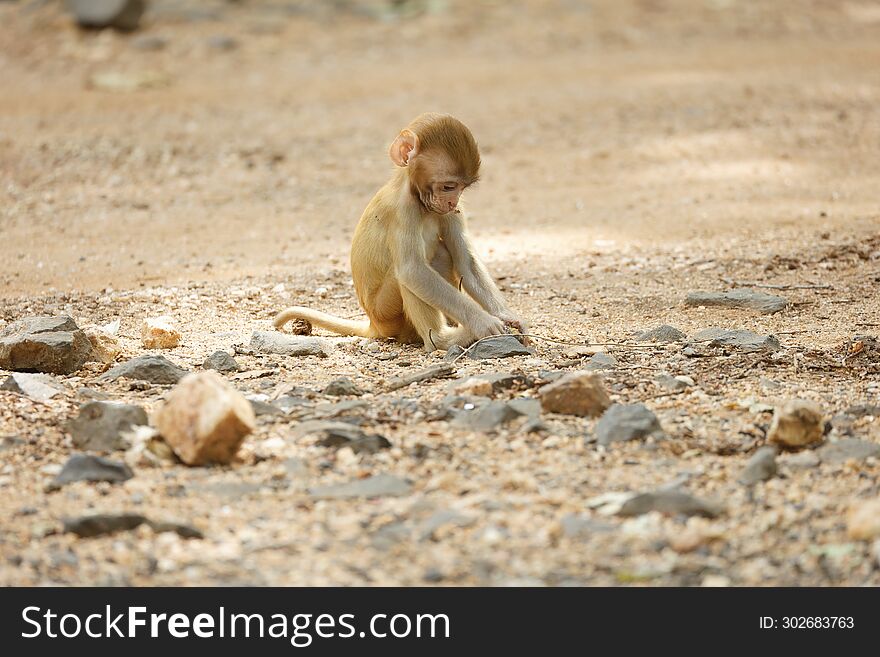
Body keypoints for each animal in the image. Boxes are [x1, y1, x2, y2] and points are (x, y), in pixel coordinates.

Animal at [276, 111, 524, 354]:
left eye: (462, 188)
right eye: (448, 186)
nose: (453, 201)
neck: (418, 200)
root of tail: (373, 324)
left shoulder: (450, 211)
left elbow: (466, 261)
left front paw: (506, 316)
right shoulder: (401, 210)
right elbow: (412, 270)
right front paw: (483, 322)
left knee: (441, 254)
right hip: (386, 312)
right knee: (408, 273)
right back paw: (444, 339)